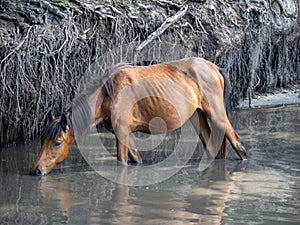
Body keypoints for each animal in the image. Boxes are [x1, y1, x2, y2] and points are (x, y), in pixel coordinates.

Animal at [29, 56, 246, 176]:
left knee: (239, 146)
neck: (107, 94)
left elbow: (122, 164)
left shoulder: (122, 132)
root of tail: (215, 67)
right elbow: (136, 161)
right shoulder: (124, 133)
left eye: (57, 142)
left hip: (217, 115)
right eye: (41, 141)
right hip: (198, 116)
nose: (35, 171)